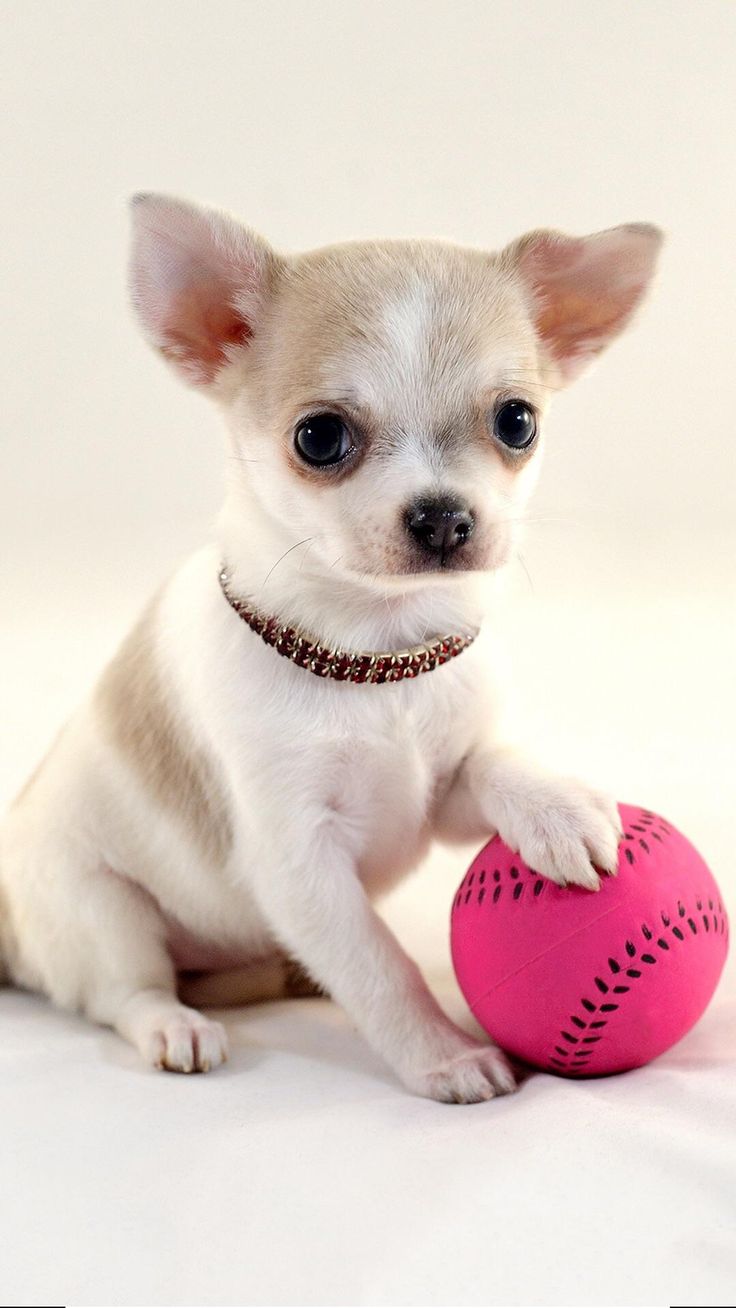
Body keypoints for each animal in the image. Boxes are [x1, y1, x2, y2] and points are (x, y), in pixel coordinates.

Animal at [0, 196, 662, 1101]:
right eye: (319, 438)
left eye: (517, 422)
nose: (443, 517)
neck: (377, 661)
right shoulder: (299, 864)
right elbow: (380, 967)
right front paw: (445, 1054)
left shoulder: (438, 796)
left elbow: (496, 763)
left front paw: (557, 808)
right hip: (100, 911)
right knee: (126, 993)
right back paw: (176, 1026)